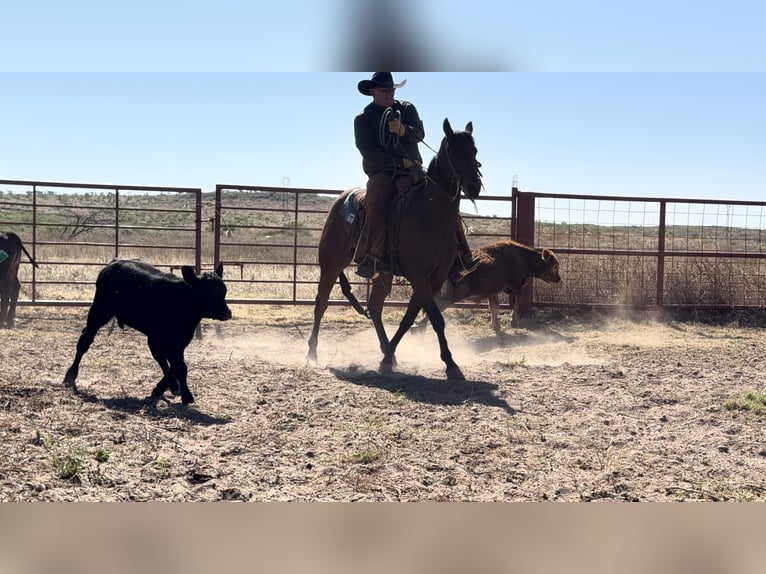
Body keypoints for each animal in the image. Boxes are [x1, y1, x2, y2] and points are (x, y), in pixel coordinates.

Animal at [307, 118, 482, 379]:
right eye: (452, 150)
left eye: (474, 150)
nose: (474, 186)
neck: (431, 215)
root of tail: (341, 198)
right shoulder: (418, 276)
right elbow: (435, 318)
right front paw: (451, 364)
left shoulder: (434, 279)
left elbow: (410, 318)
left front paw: (388, 356)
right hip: (330, 264)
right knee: (321, 303)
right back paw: (312, 352)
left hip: (383, 273)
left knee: (374, 307)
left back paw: (384, 348)